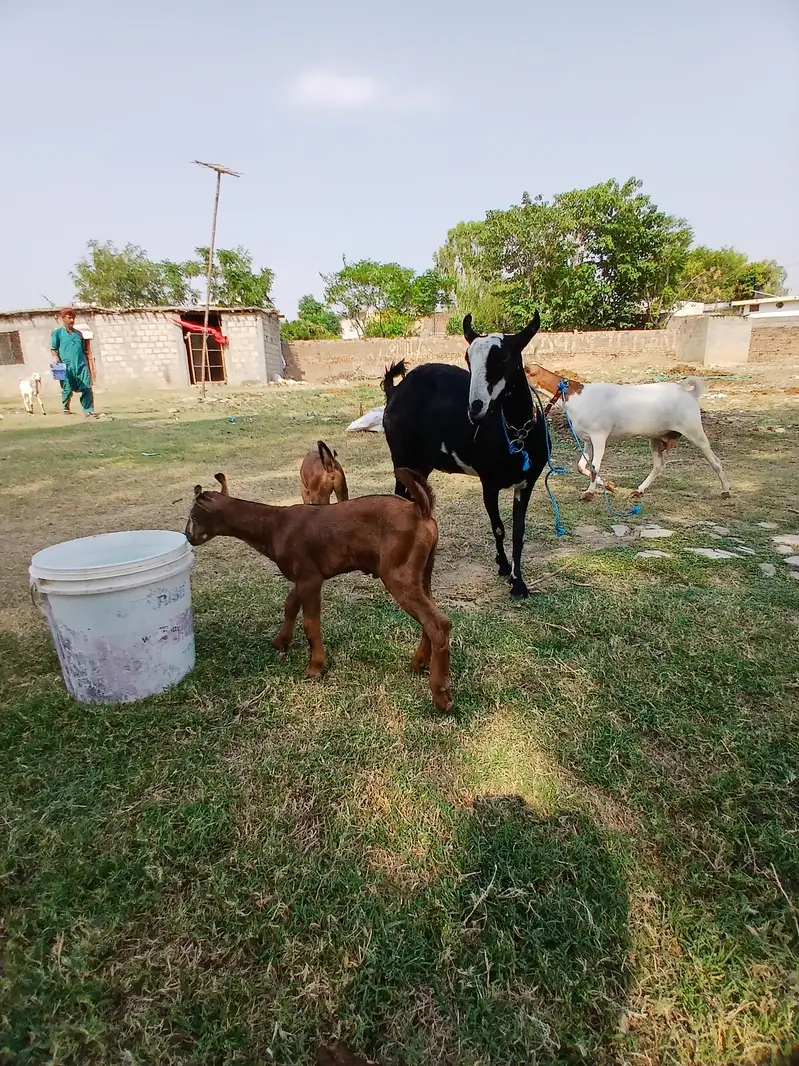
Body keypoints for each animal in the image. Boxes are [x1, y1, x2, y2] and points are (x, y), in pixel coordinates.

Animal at [185, 470, 453, 710]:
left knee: (437, 624)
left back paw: (440, 696)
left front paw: (315, 666)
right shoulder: (303, 578)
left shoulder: (310, 579)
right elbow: (290, 605)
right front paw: (281, 642)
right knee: (434, 619)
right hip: (421, 573)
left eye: (193, 516)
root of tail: (420, 509)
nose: (187, 537)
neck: (273, 524)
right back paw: (419, 663)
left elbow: (310, 624)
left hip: (397, 574)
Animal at [383, 314, 547, 600]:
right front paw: (504, 567)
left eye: (503, 358)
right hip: (401, 456)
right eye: (468, 358)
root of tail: (394, 391)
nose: (475, 409)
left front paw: (518, 582)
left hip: (422, 464)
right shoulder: (489, 483)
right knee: (398, 496)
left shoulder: (526, 483)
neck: (516, 433)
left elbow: (518, 532)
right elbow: (499, 527)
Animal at [526, 362, 731, 498]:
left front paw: (590, 492)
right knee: (659, 465)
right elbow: (581, 466)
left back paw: (726, 490)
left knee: (715, 461)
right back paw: (639, 490)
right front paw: (609, 485)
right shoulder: (586, 440)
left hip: (694, 431)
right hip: (656, 437)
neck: (574, 395)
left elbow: (594, 466)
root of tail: (689, 393)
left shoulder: (599, 437)